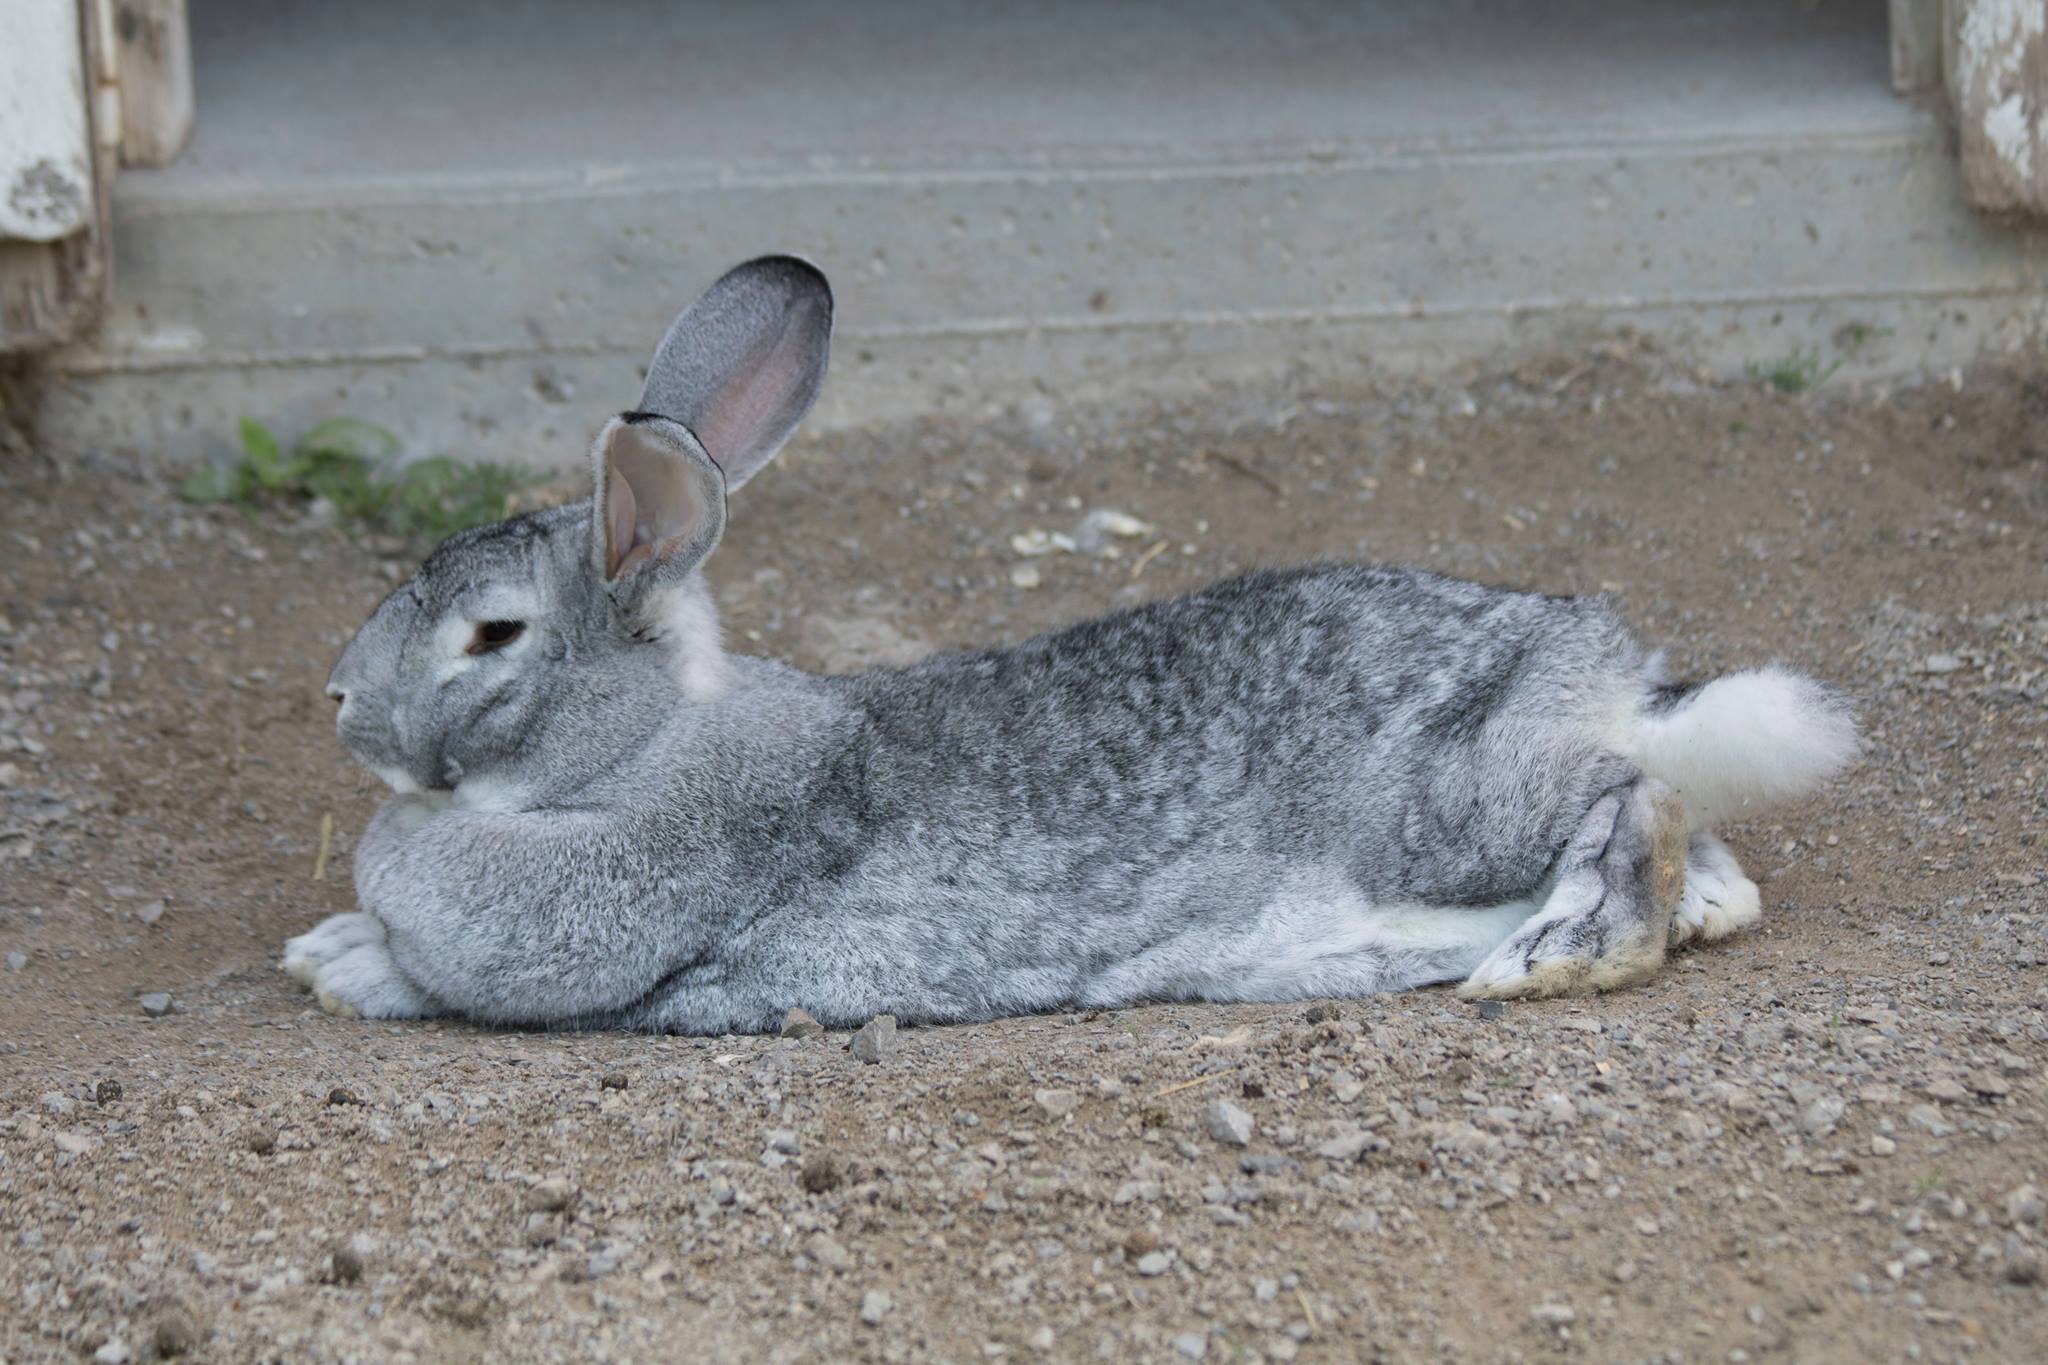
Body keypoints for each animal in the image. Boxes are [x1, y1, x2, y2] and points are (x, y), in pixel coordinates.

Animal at [280, 255, 1867, 1035]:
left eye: (492, 632)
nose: (342, 697)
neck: (655, 738)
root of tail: (1596, 664)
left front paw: (347, 966)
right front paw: (326, 941)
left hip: (1445, 805)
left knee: (1633, 798)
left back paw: (1565, 955)